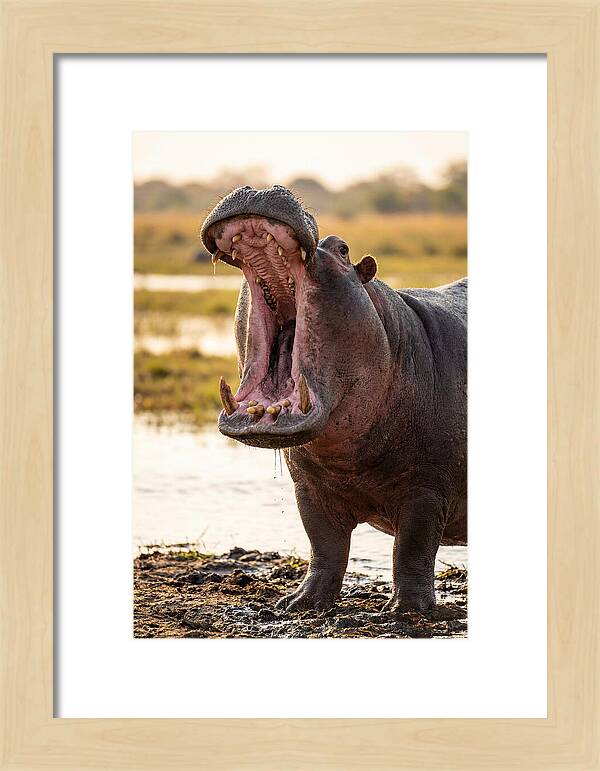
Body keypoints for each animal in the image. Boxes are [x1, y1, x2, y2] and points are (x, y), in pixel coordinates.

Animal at [201, 185, 467, 613]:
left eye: (342, 249)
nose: (261, 188)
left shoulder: (427, 490)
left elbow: (413, 549)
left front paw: (406, 611)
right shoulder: (308, 488)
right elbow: (324, 545)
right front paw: (299, 603)